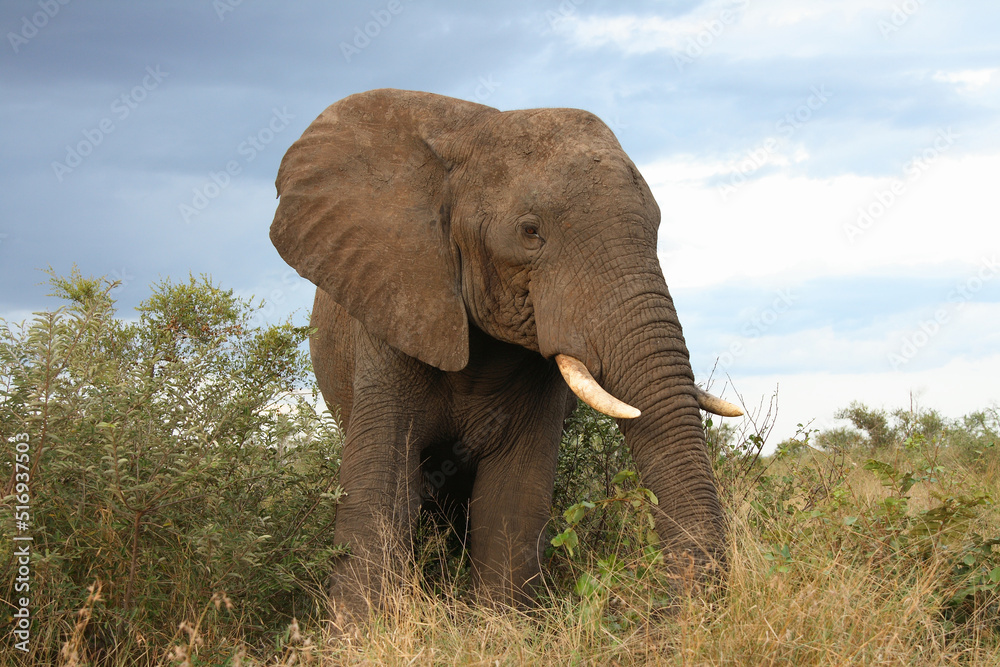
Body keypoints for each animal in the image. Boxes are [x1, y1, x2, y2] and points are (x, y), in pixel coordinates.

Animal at [269, 88, 742, 619]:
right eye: (530, 231)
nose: (667, 612)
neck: (472, 132)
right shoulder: (394, 300)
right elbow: (380, 485)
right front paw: (361, 630)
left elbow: (512, 496)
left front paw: (501, 625)